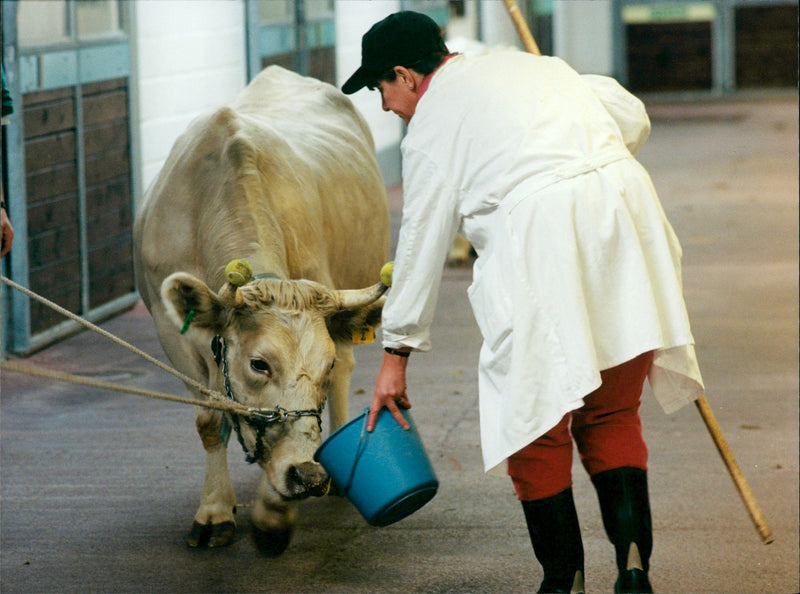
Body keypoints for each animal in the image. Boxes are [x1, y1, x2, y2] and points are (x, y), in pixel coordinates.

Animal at [134, 66, 390, 556]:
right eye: (258, 364)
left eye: (324, 364)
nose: (309, 475)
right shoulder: (171, 333)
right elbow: (210, 418)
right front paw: (215, 512)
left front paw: (273, 515)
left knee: (350, 370)